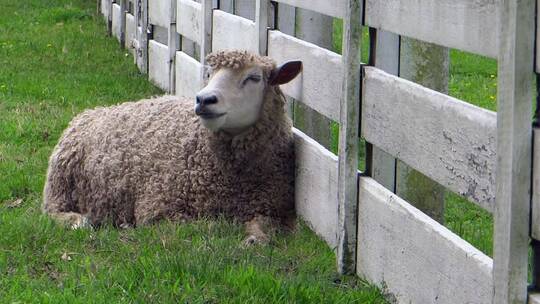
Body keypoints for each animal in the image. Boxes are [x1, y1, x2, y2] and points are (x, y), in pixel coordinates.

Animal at [41, 50, 304, 245]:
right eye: (210, 74)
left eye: (254, 78)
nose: (204, 100)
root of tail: (90, 112)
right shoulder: (159, 210)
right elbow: (209, 226)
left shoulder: (273, 209)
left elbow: (264, 227)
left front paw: (254, 238)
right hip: (60, 186)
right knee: (52, 213)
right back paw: (79, 221)